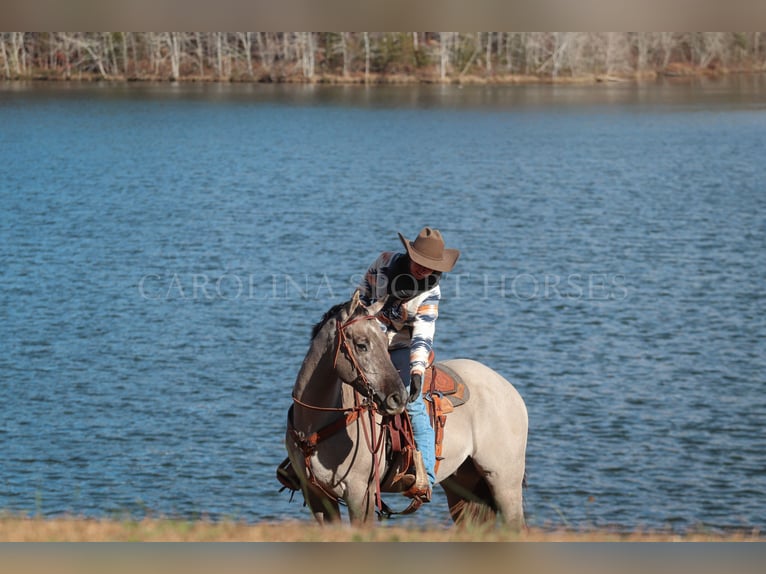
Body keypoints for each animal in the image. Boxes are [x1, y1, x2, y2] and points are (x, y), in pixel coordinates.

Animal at [284, 292, 532, 532]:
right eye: (362, 344)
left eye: (384, 342)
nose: (398, 398)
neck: (316, 424)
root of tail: (511, 391)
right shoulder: (316, 495)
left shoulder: (360, 493)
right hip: (463, 485)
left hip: (504, 482)